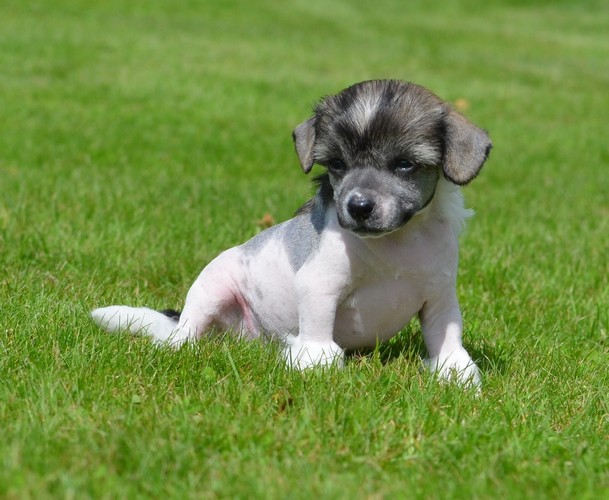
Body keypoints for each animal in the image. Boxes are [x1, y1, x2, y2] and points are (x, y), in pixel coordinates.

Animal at [92, 80, 491, 386]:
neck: (396, 245)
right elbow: (317, 326)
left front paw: (455, 371)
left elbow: (446, 335)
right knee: (181, 336)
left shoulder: (439, 297)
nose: (358, 206)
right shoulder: (320, 285)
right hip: (210, 293)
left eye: (405, 165)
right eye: (337, 164)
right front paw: (317, 363)